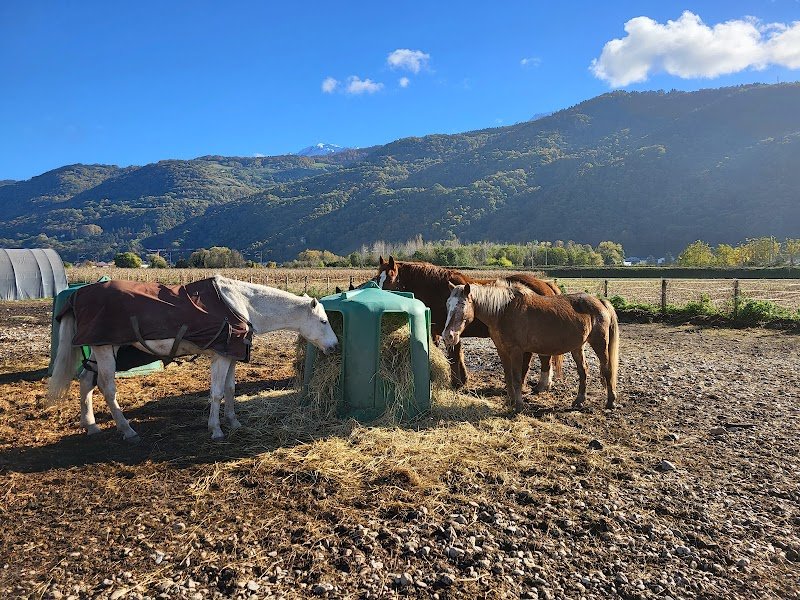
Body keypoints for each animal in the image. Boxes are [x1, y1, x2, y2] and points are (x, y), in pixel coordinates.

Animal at [48, 275, 339, 442]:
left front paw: (233, 421)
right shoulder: (220, 357)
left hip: (102, 351)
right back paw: (127, 430)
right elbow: (217, 392)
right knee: (107, 388)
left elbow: (230, 389)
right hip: (106, 349)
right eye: (324, 321)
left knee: (86, 381)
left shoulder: (230, 356)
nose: (335, 347)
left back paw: (91, 425)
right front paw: (216, 429)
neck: (241, 303)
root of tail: (78, 294)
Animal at [373, 256, 564, 391]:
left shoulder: (446, 332)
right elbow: (459, 355)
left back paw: (540, 384)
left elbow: (454, 356)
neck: (437, 290)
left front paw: (456, 383)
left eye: (389, 280)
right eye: (376, 279)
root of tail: (545, 285)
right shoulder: (448, 332)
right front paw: (462, 380)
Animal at [443, 281, 619, 412]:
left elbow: (516, 378)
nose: (448, 336)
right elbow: (508, 377)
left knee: (607, 369)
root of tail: (600, 302)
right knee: (583, 371)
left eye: (462, 304)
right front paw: (510, 402)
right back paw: (579, 401)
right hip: (578, 346)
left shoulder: (516, 351)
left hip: (599, 344)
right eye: (447, 305)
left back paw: (610, 402)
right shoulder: (502, 350)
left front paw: (519, 406)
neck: (503, 311)